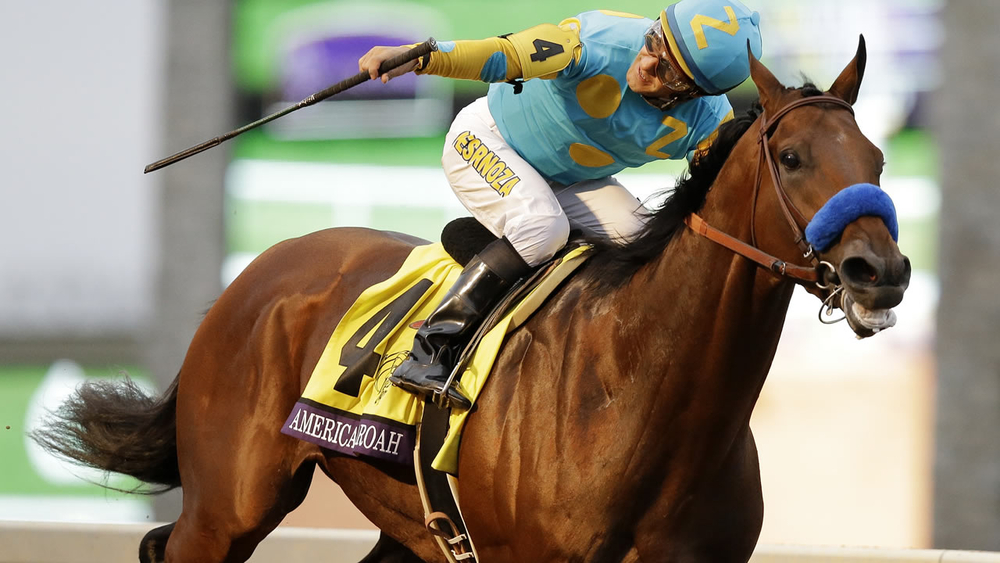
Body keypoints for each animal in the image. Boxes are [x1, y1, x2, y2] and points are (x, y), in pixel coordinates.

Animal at [34, 41, 910, 563]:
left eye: (876, 156)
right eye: (792, 157)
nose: (882, 271)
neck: (633, 391)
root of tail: (255, 274)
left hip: (408, 522)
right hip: (228, 506)